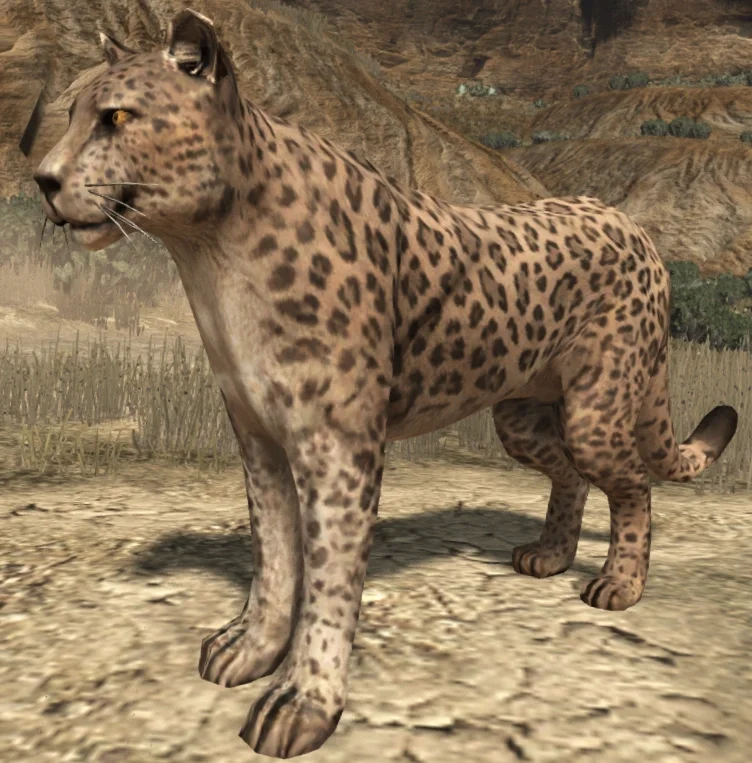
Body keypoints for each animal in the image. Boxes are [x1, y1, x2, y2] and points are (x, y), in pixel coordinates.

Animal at [32, 9, 738, 759]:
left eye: (116, 116)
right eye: (70, 113)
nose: (43, 178)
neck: (210, 248)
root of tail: (632, 224)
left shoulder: (338, 449)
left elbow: (329, 581)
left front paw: (302, 702)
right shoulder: (257, 437)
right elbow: (275, 556)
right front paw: (249, 648)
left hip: (595, 410)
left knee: (633, 485)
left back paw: (619, 582)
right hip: (520, 415)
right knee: (570, 473)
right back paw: (549, 554)